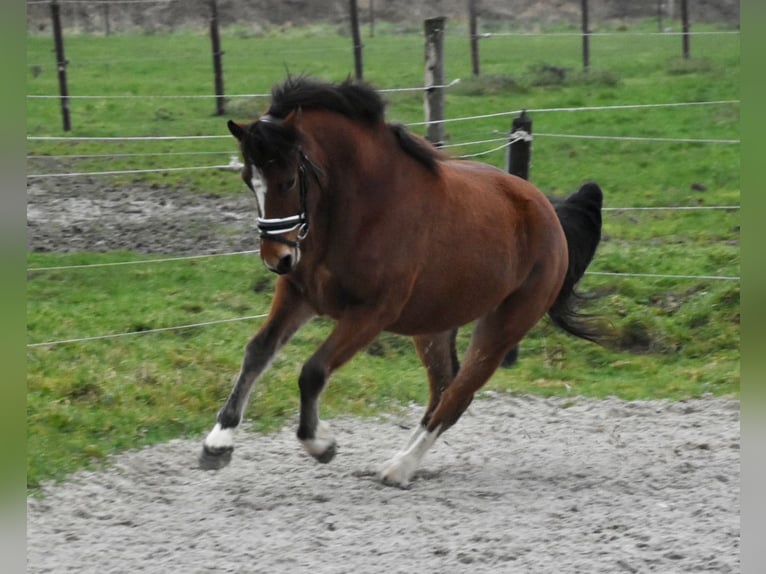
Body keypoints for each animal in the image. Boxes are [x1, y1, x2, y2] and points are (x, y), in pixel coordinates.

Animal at [200, 76, 608, 488]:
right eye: (248, 180)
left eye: (288, 180)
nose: (277, 259)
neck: (355, 211)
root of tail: (549, 214)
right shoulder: (299, 294)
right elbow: (258, 351)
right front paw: (218, 443)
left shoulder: (371, 313)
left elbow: (313, 371)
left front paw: (321, 444)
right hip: (433, 326)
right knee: (442, 388)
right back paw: (400, 459)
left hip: (503, 328)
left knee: (457, 397)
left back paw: (401, 467)